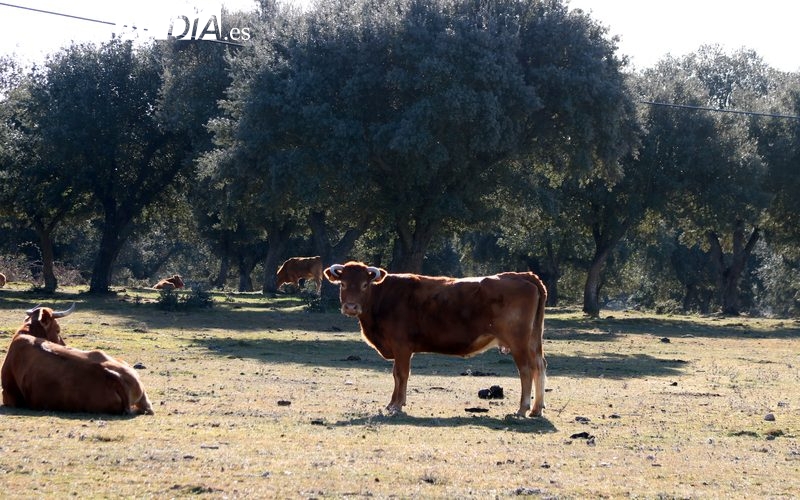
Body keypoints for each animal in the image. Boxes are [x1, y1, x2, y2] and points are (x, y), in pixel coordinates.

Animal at [322, 262, 548, 418]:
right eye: (343, 284)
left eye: (364, 284)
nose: (351, 307)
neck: (383, 297)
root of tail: (522, 276)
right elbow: (397, 375)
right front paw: (393, 403)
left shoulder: (401, 346)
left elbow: (400, 374)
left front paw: (396, 405)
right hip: (533, 341)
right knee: (539, 366)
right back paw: (537, 409)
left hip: (518, 342)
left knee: (526, 370)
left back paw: (522, 409)